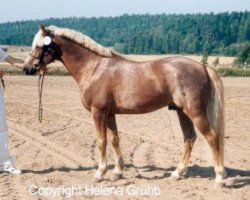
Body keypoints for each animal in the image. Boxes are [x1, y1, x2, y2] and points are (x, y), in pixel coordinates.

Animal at [23, 25, 227, 184]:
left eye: (40, 45)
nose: (27, 68)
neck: (94, 68)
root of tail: (203, 67)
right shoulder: (110, 113)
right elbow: (115, 139)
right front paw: (117, 172)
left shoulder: (98, 112)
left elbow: (101, 141)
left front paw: (100, 173)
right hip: (182, 112)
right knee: (189, 138)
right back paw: (177, 173)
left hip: (195, 112)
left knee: (211, 136)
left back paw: (219, 176)